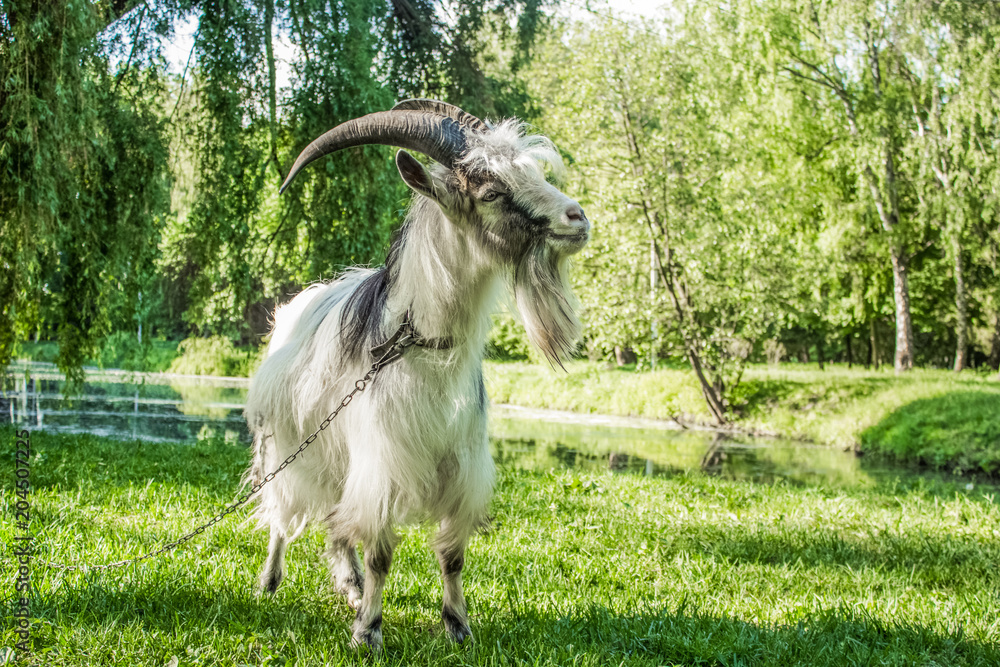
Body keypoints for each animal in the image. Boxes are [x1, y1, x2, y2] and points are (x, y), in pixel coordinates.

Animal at [244, 99, 589, 650]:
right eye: (491, 191)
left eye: (535, 173)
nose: (577, 218)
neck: (426, 349)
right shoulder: (385, 464)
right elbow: (381, 554)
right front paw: (368, 632)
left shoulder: (460, 468)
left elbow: (452, 555)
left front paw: (458, 626)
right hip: (288, 445)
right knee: (282, 515)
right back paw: (271, 583)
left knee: (336, 520)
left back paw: (348, 584)